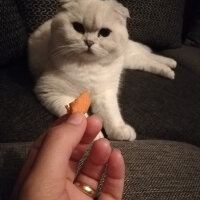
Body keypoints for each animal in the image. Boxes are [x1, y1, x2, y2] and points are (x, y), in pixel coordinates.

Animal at [28, 0, 177, 141]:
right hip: (131, 61)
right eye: (78, 27)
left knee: (149, 56)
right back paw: (170, 70)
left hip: (129, 56)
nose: (89, 42)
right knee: (147, 60)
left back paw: (171, 66)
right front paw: (92, 135)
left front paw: (119, 130)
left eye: (104, 33)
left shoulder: (105, 92)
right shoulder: (54, 93)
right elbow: (81, 115)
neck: (89, 66)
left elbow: (111, 113)